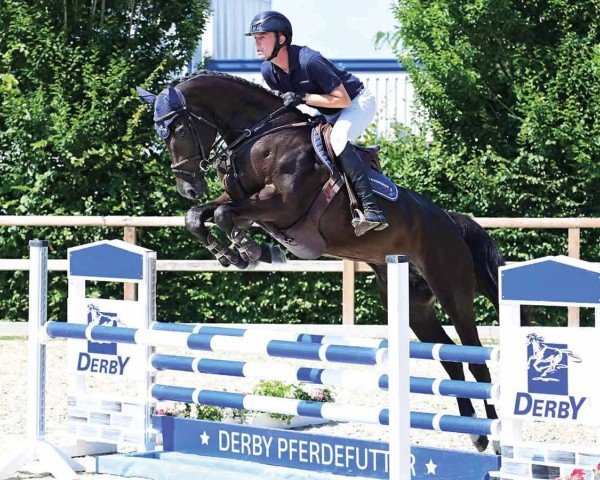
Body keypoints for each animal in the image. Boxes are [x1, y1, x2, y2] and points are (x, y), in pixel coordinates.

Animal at [137, 70, 506, 450]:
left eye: (180, 130)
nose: (188, 189)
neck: (260, 135)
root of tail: (449, 220)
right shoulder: (242, 200)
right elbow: (199, 216)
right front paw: (235, 254)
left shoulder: (281, 204)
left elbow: (224, 215)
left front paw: (251, 251)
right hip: (413, 305)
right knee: (450, 359)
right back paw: (476, 435)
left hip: (452, 291)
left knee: (477, 360)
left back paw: (495, 437)